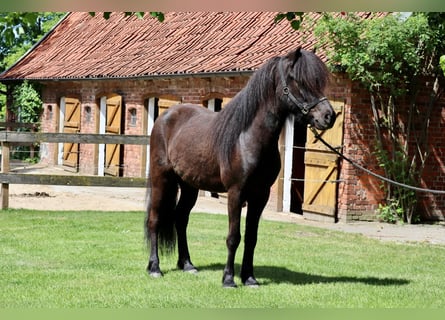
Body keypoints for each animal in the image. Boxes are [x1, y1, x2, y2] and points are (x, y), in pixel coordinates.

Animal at [144, 47, 334, 288]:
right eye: (298, 80)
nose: (329, 116)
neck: (248, 138)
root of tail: (165, 117)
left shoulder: (260, 195)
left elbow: (251, 238)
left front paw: (249, 278)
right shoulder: (236, 193)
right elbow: (234, 237)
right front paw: (228, 279)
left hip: (189, 186)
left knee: (181, 218)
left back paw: (187, 265)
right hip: (162, 179)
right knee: (155, 219)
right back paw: (155, 268)